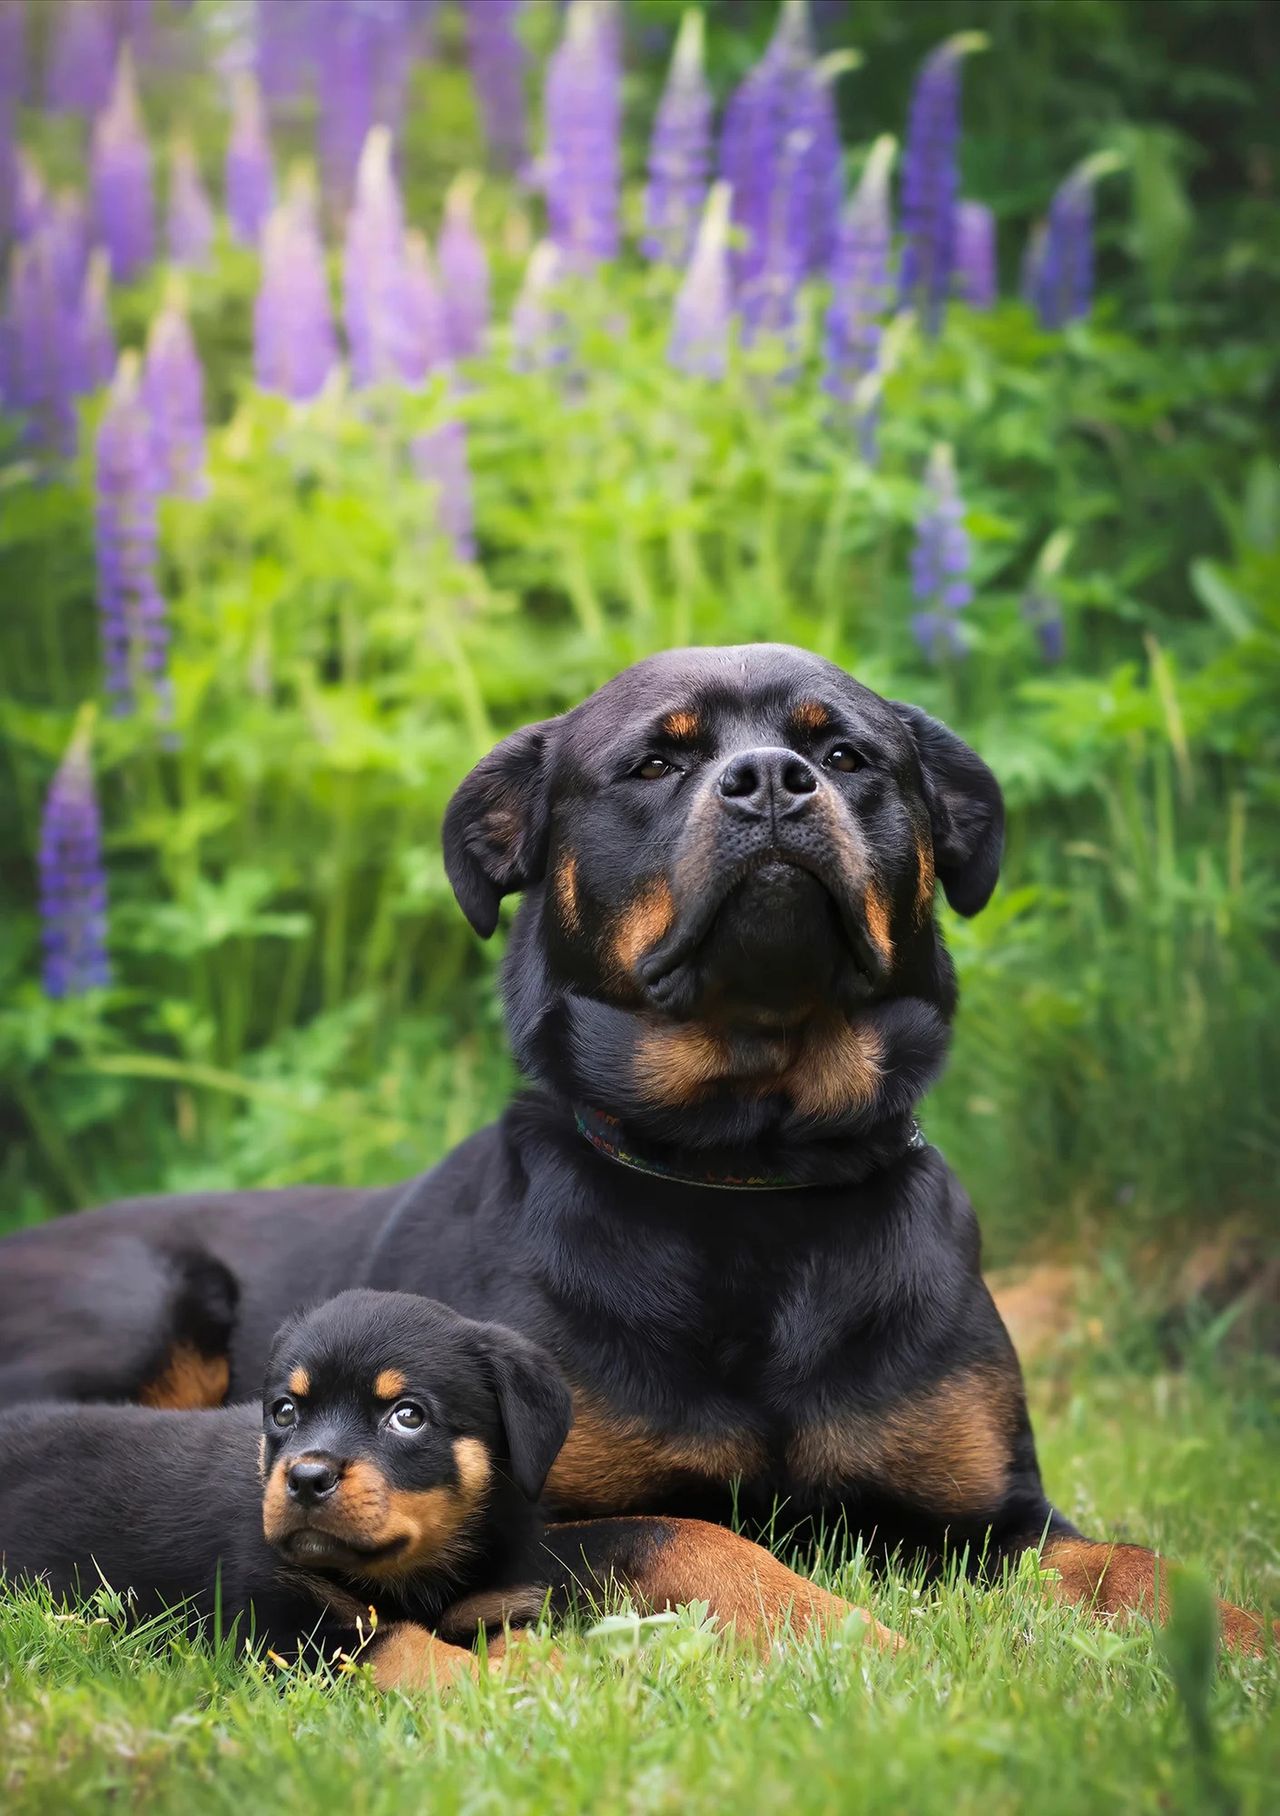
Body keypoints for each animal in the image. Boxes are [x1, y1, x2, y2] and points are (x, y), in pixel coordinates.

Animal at [0, 646, 1270, 1656]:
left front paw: (1242, 1636)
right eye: (656, 763)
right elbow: (697, 1536)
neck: (750, 1173)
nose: (771, 779)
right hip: (141, 1300)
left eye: (846, 753)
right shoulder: (533, 1516)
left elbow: (1133, 1563)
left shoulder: (993, 1517)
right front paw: (844, 1635)